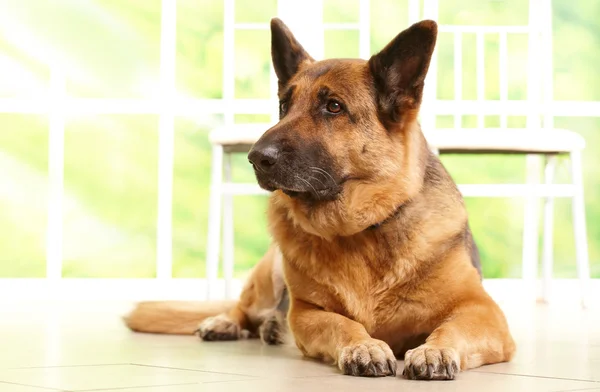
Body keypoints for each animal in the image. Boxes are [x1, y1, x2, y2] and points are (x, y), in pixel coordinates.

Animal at [123, 17, 516, 380]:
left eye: (334, 107)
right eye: (284, 105)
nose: (256, 157)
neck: (363, 228)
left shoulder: (484, 311)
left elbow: (450, 328)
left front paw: (435, 350)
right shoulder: (308, 313)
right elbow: (341, 323)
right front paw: (363, 346)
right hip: (269, 275)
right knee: (244, 306)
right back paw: (226, 322)